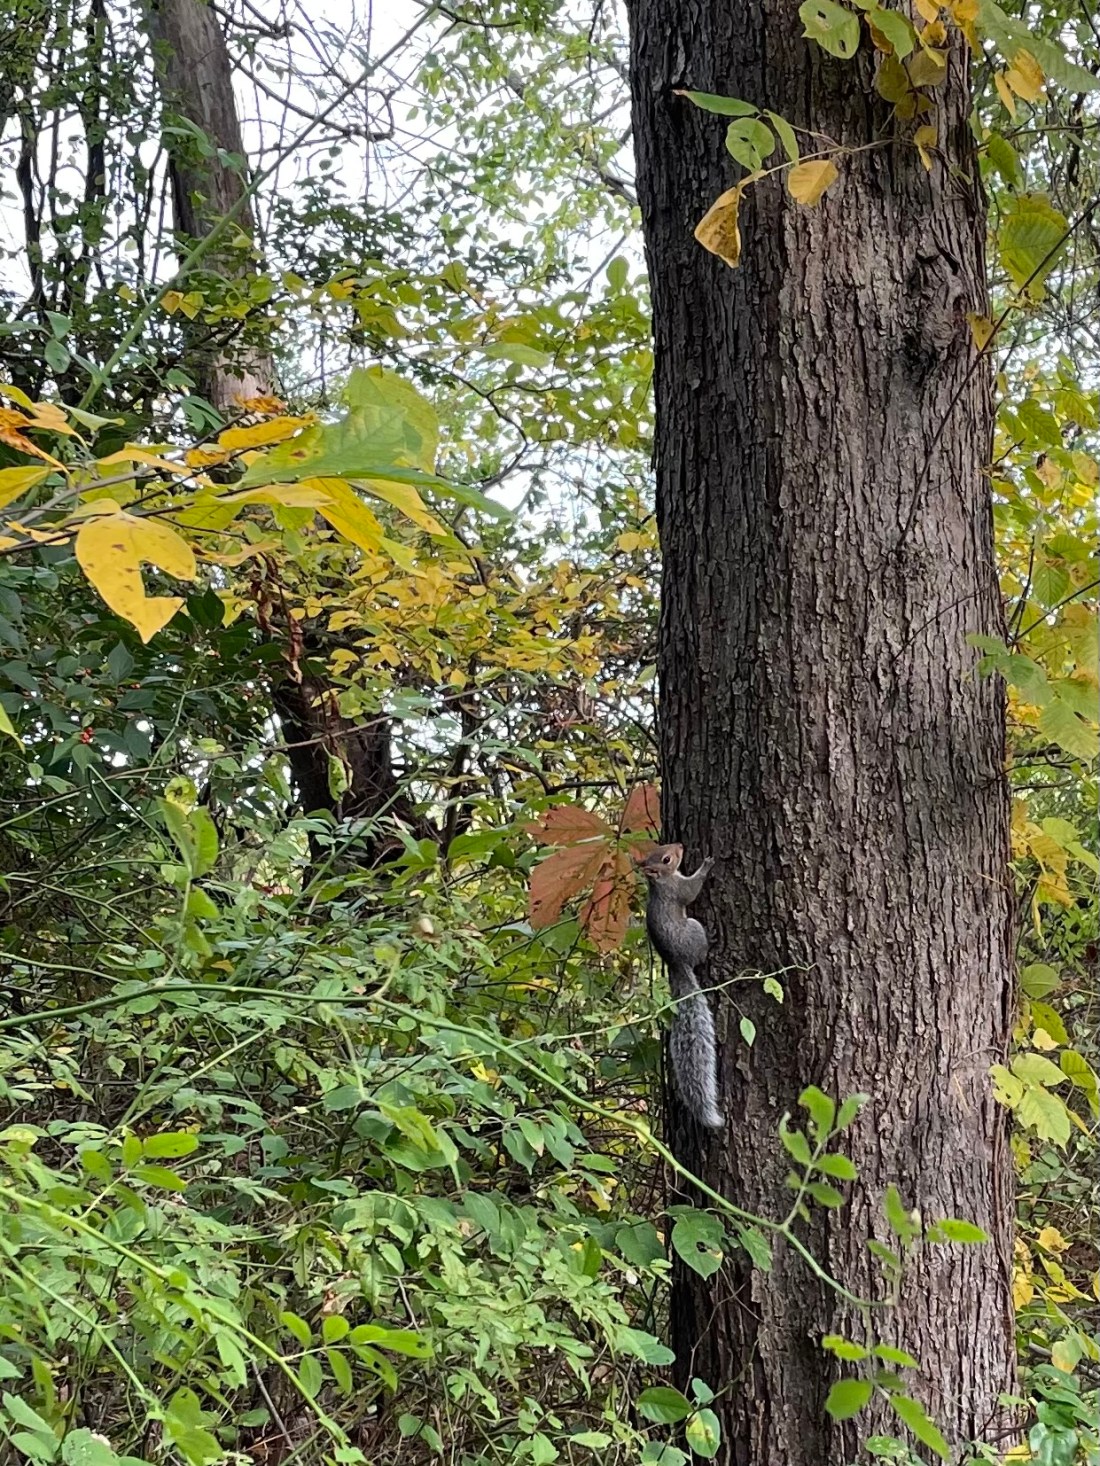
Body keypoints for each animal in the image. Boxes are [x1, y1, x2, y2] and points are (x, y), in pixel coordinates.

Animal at [640, 843, 724, 1131]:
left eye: (659, 849)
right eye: (666, 859)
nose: (680, 846)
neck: (660, 882)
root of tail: (676, 963)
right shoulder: (678, 889)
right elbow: (691, 891)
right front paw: (707, 865)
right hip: (694, 930)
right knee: (700, 953)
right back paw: (711, 939)